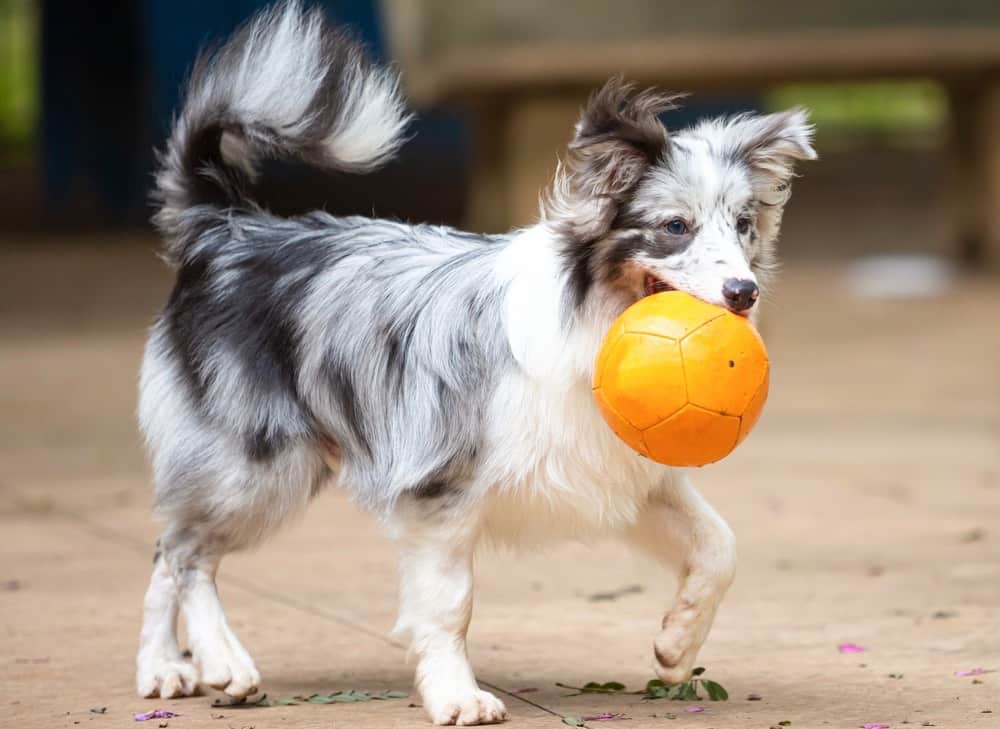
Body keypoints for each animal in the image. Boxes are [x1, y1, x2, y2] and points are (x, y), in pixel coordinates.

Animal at [137, 1, 816, 724]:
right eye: (675, 227)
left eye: (744, 225)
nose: (744, 292)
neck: (591, 314)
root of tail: (227, 229)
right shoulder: (440, 489)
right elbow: (449, 605)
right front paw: (456, 693)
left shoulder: (627, 475)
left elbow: (719, 548)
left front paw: (677, 644)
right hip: (260, 463)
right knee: (184, 551)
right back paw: (222, 660)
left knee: (165, 547)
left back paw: (163, 668)